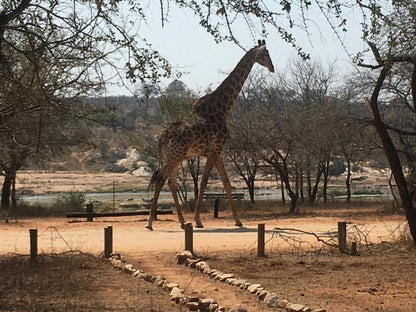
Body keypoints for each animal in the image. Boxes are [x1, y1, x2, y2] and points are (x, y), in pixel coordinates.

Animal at [148, 39, 274, 229]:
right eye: (266, 53)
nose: (272, 67)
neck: (223, 108)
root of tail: (161, 139)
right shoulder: (214, 151)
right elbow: (204, 182)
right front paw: (198, 220)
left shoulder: (217, 152)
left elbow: (227, 183)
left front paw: (238, 220)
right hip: (174, 156)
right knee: (161, 179)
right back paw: (150, 223)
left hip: (175, 156)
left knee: (171, 182)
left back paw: (182, 221)